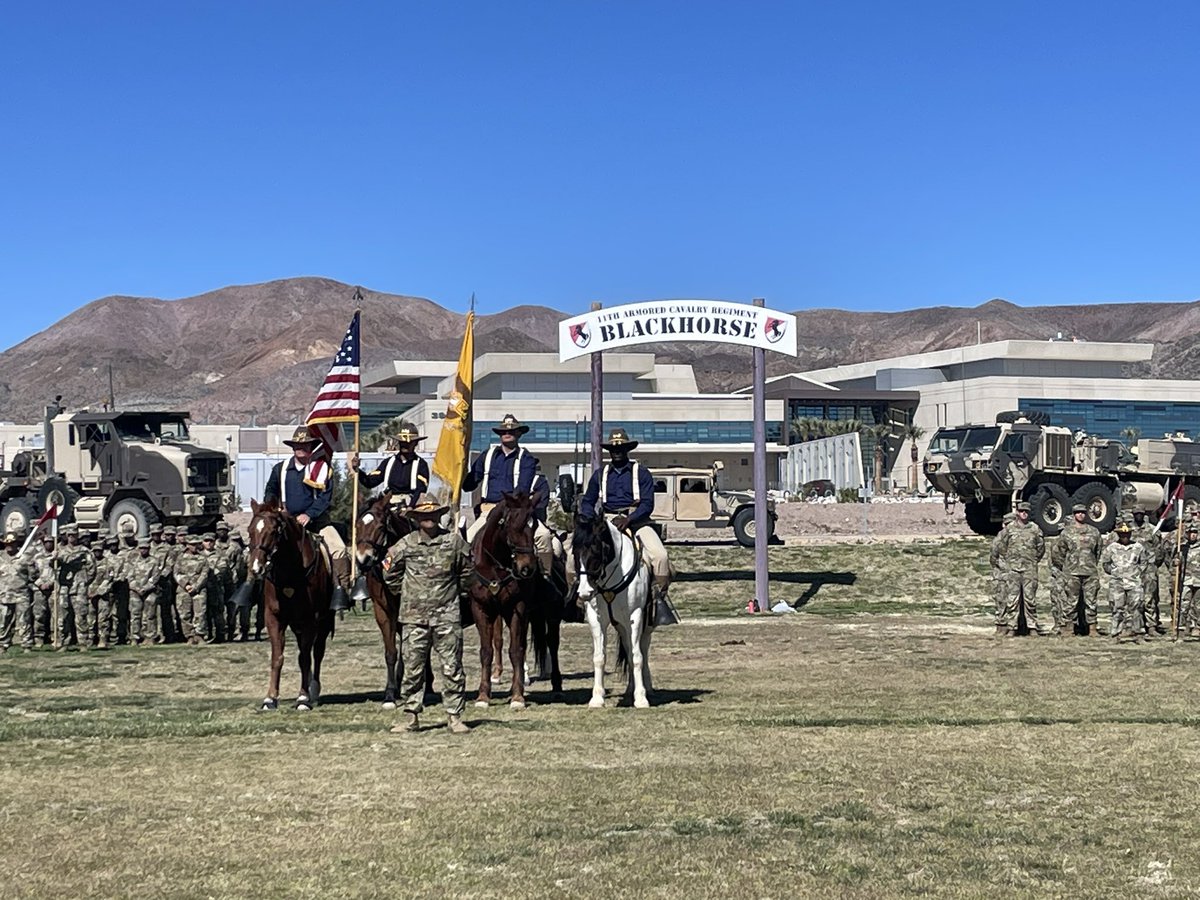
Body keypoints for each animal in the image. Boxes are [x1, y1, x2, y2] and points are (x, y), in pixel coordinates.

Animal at [246, 501, 336, 710]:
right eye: (250, 530)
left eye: (273, 531)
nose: (255, 568)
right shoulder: (274, 618)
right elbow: (277, 657)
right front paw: (270, 698)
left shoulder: (310, 620)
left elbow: (304, 658)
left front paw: (303, 698)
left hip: (323, 622)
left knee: (317, 652)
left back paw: (313, 689)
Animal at [468, 494, 561, 710]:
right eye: (510, 524)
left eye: (533, 525)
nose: (527, 568)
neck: (496, 567)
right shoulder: (481, 608)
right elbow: (486, 651)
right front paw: (483, 695)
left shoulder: (517, 607)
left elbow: (516, 650)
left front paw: (518, 696)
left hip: (548, 613)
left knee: (551, 643)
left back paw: (556, 684)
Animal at [573, 508, 657, 710]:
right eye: (574, 552)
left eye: (596, 550)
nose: (584, 592)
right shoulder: (596, 619)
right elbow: (599, 657)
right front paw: (597, 698)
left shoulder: (635, 617)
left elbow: (637, 656)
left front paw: (641, 698)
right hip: (621, 626)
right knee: (628, 648)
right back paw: (630, 689)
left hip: (645, 625)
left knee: (642, 649)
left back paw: (646, 687)